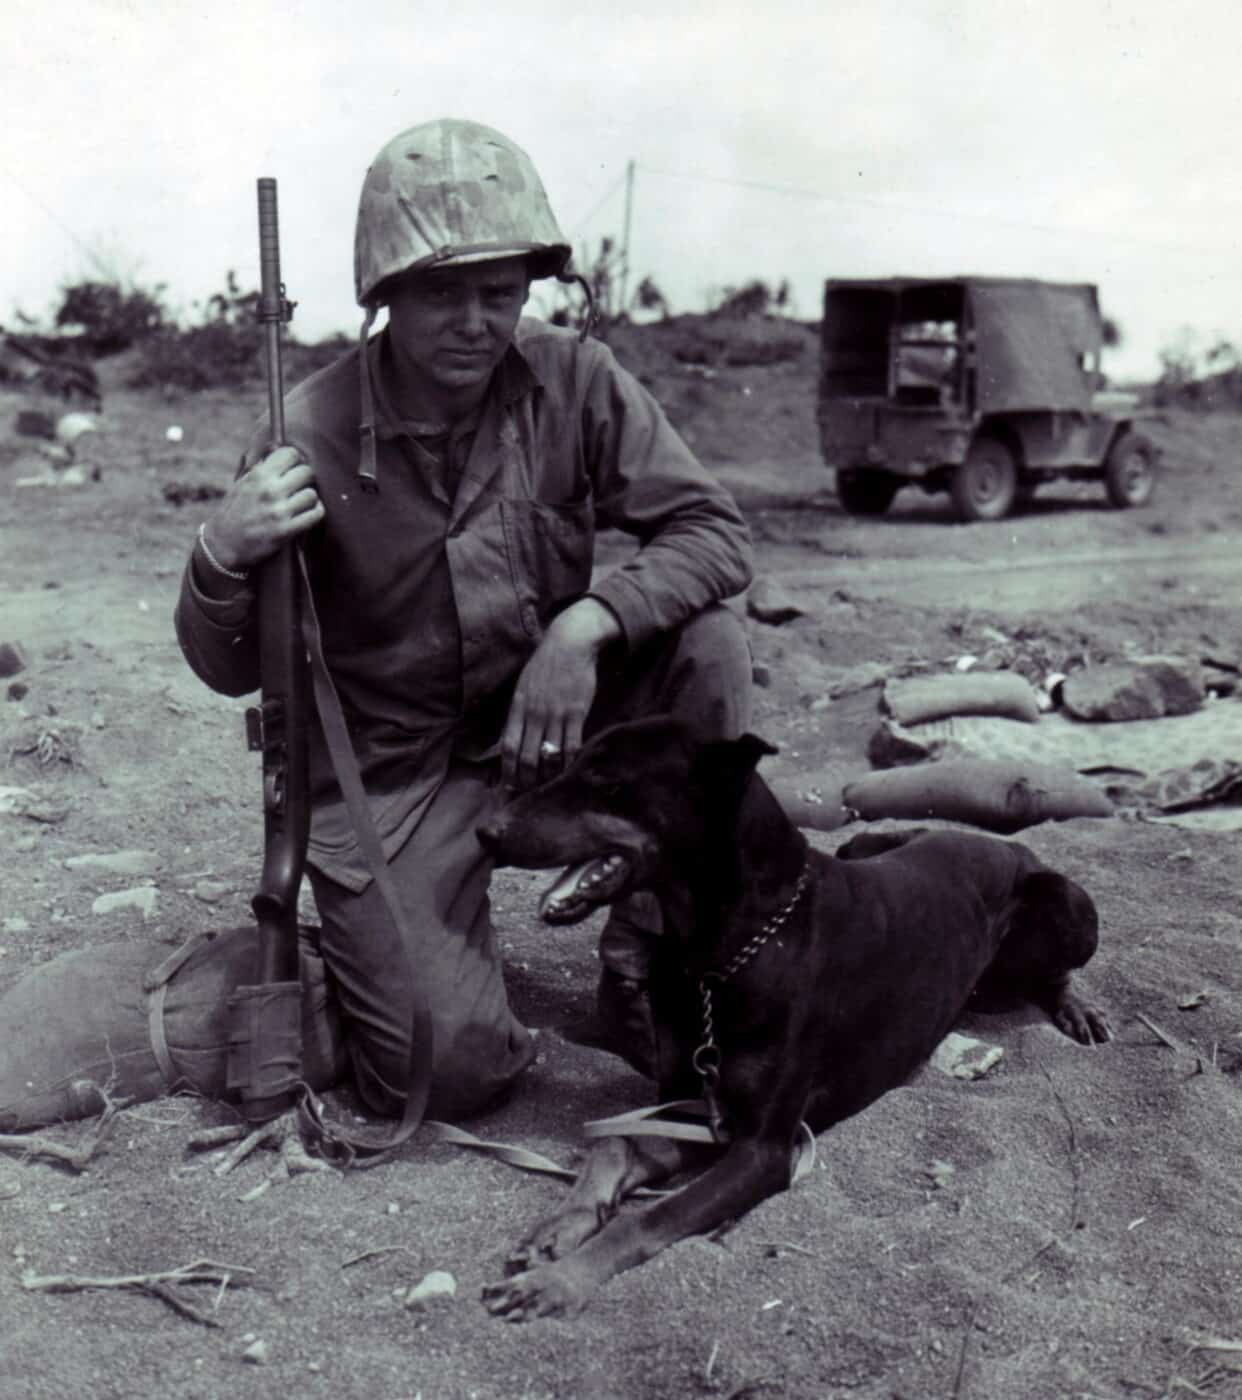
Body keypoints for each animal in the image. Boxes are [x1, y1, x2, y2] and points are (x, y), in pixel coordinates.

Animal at [473, 716, 1108, 1316]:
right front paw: (555, 1230)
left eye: (605, 779)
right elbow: (614, 1147)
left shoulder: (762, 1149)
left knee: (1057, 968)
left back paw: (1078, 1009)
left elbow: (650, 1219)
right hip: (867, 844)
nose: (485, 833)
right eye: (570, 762)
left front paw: (555, 1284)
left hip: (1065, 905)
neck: (728, 951)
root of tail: (1006, 846)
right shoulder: (693, 1104)